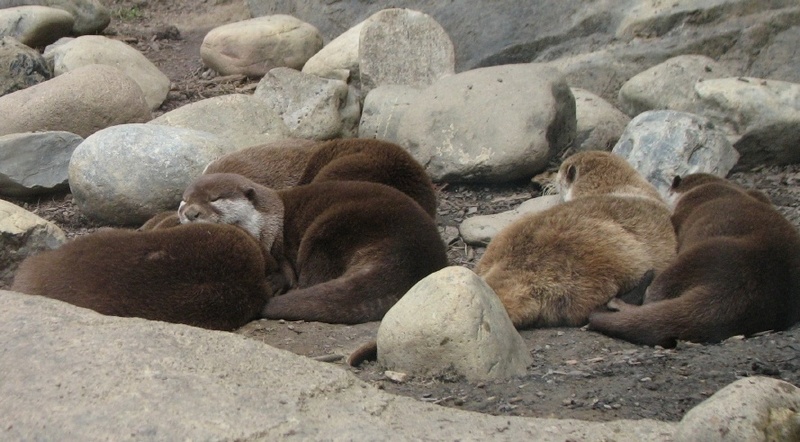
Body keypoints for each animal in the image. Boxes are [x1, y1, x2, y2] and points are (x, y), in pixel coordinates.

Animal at [179, 173, 448, 324]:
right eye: (184, 200)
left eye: (214, 199)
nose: (190, 213)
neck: (269, 222)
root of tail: (412, 252)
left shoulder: (279, 249)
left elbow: (285, 274)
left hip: (329, 228)